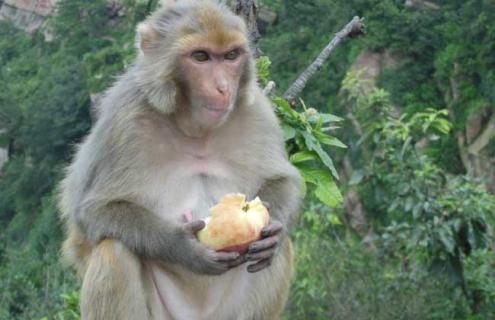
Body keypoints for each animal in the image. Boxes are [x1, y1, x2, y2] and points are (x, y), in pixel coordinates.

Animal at [59, 1, 302, 318]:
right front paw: (184, 247)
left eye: (231, 56)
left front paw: (273, 230)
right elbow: (93, 212)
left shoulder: (256, 110)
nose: (223, 87)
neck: (193, 129)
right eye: (200, 56)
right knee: (114, 251)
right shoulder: (123, 120)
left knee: (281, 249)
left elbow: (282, 179)